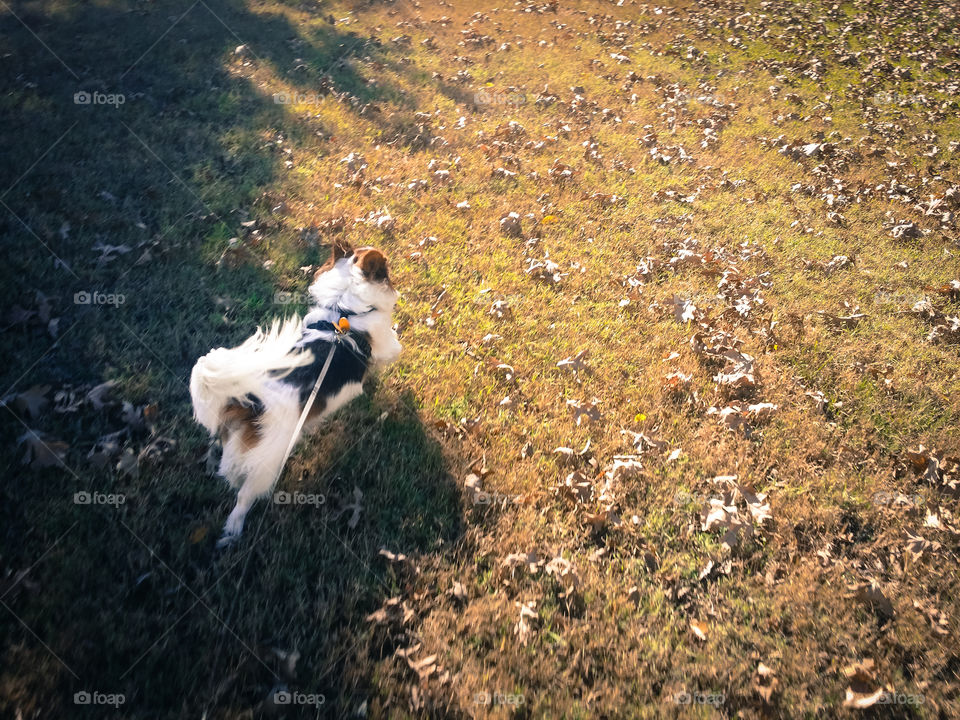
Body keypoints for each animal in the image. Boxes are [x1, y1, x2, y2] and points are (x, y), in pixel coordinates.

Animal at [189, 239, 400, 544]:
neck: (343, 309)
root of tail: (250, 402)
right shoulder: (384, 343)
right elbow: (394, 349)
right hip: (267, 463)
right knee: (244, 498)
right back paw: (234, 530)